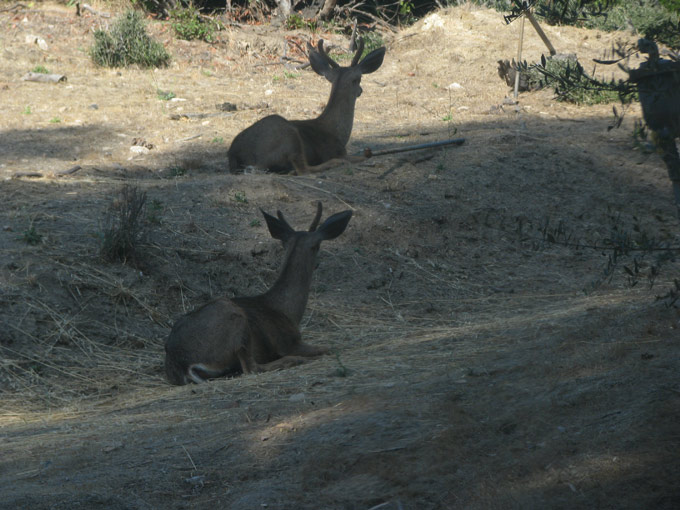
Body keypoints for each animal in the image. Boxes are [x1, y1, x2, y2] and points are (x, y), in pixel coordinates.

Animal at [163, 201, 350, 384]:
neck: (286, 311)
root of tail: (183, 365)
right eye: (317, 246)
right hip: (233, 318)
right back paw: (295, 360)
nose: (318, 264)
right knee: (252, 368)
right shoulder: (288, 342)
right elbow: (329, 347)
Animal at [228, 37, 386, 175]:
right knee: (303, 169)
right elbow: (362, 156)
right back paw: (335, 163)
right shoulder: (336, 151)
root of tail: (235, 156)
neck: (337, 133)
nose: (360, 90)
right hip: (289, 137)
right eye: (359, 78)